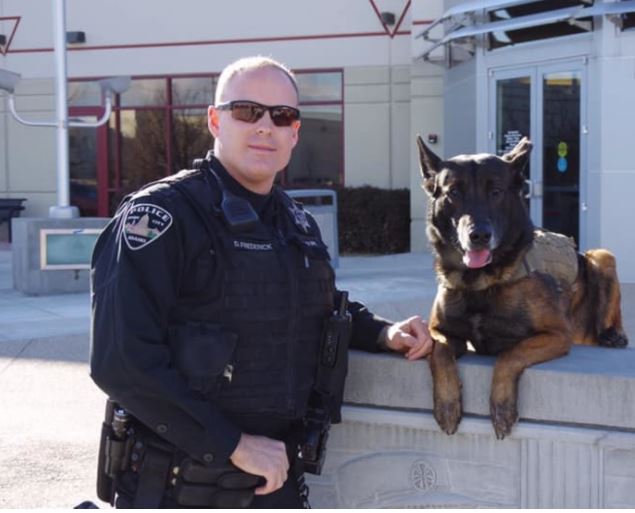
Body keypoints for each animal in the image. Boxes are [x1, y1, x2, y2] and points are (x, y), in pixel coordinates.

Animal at [418, 137, 632, 440]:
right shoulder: (437, 330)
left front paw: (502, 406)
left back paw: (613, 335)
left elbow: (511, 354)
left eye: (496, 191)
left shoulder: (555, 335)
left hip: (602, 256)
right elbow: (440, 352)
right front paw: (447, 403)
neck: (481, 284)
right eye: (454, 193)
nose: (479, 236)